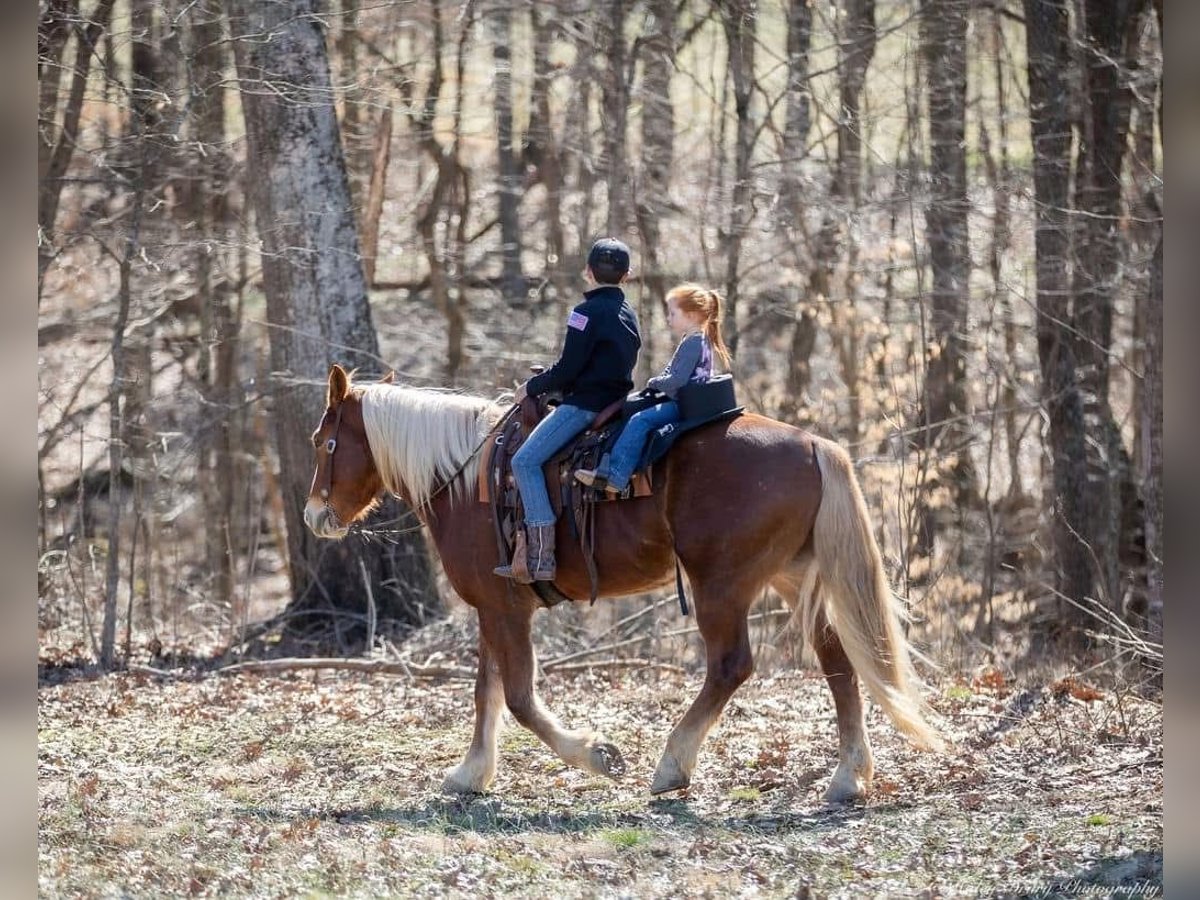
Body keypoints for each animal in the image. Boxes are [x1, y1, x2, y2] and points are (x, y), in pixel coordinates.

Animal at [304, 362, 940, 801]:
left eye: (324, 441)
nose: (314, 516)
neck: (466, 478)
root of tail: (813, 444)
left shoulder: (505, 610)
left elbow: (519, 697)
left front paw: (598, 755)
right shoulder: (493, 606)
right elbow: (488, 690)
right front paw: (471, 772)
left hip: (720, 584)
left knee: (732, 665)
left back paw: (672, 765)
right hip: (794, 576)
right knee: (837, 659)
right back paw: (849, 776)